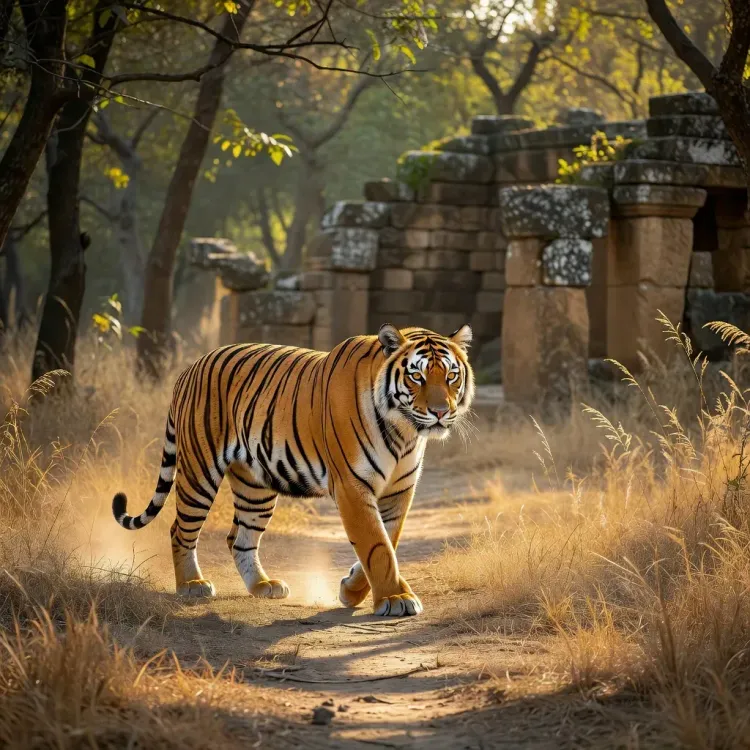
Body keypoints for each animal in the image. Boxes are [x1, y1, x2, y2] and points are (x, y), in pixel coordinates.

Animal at [112, 323, 474, 617]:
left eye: (451, 376)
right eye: (417, 376)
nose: (441, 412)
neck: (404, 432)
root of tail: (189, 369)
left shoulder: (399, 491)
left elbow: (388, 541)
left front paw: (352, 590)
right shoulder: (352, 486)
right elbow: (376, 546)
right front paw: (395, 599)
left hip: (255, 487)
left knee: (239, 538)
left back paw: (263, 586)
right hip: (199, 472)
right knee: (180, 529)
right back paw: (192, 585)